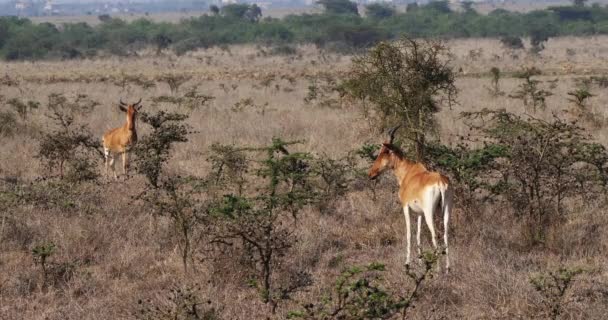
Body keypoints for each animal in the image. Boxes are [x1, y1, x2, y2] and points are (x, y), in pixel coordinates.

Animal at [366, 126, 452, 272]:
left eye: (385, 151)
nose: (371, 174)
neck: (409, 172)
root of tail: (440, 181)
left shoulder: (406, 207)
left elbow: (409, 234)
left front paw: (407, 263)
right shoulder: (419, 213)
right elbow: (418, 235)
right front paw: (420, 261)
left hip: (429, 213)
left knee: (434, 234)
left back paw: (437, 269)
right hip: (445, 210)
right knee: (446, 234)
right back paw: (448, 268)